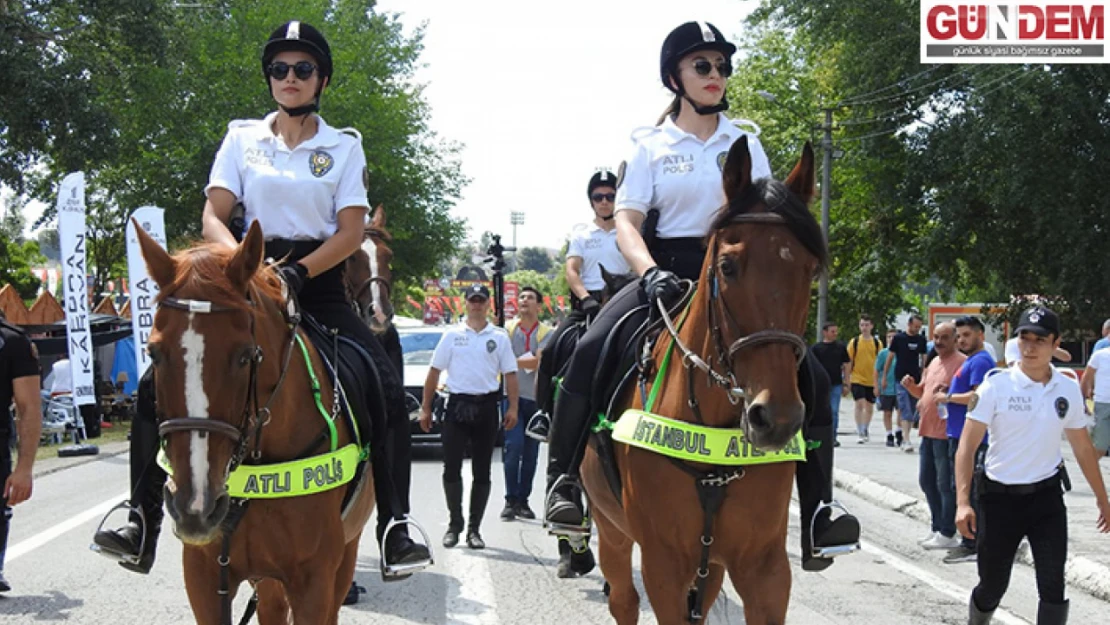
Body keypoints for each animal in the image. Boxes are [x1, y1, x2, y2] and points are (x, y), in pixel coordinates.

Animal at [133, 220, 377, 625]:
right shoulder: (203, 575)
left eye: (245, 356)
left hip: (345, 555)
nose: (196, 506)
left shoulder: (315, 580)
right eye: (153, 352)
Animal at [581, 138, 825, 625]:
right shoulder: (663, 565)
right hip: (611, 530)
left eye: (810, 270)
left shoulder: (764, 567)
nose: (776, 419)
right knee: (623, 600)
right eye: (728, 266)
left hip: (708, 563)